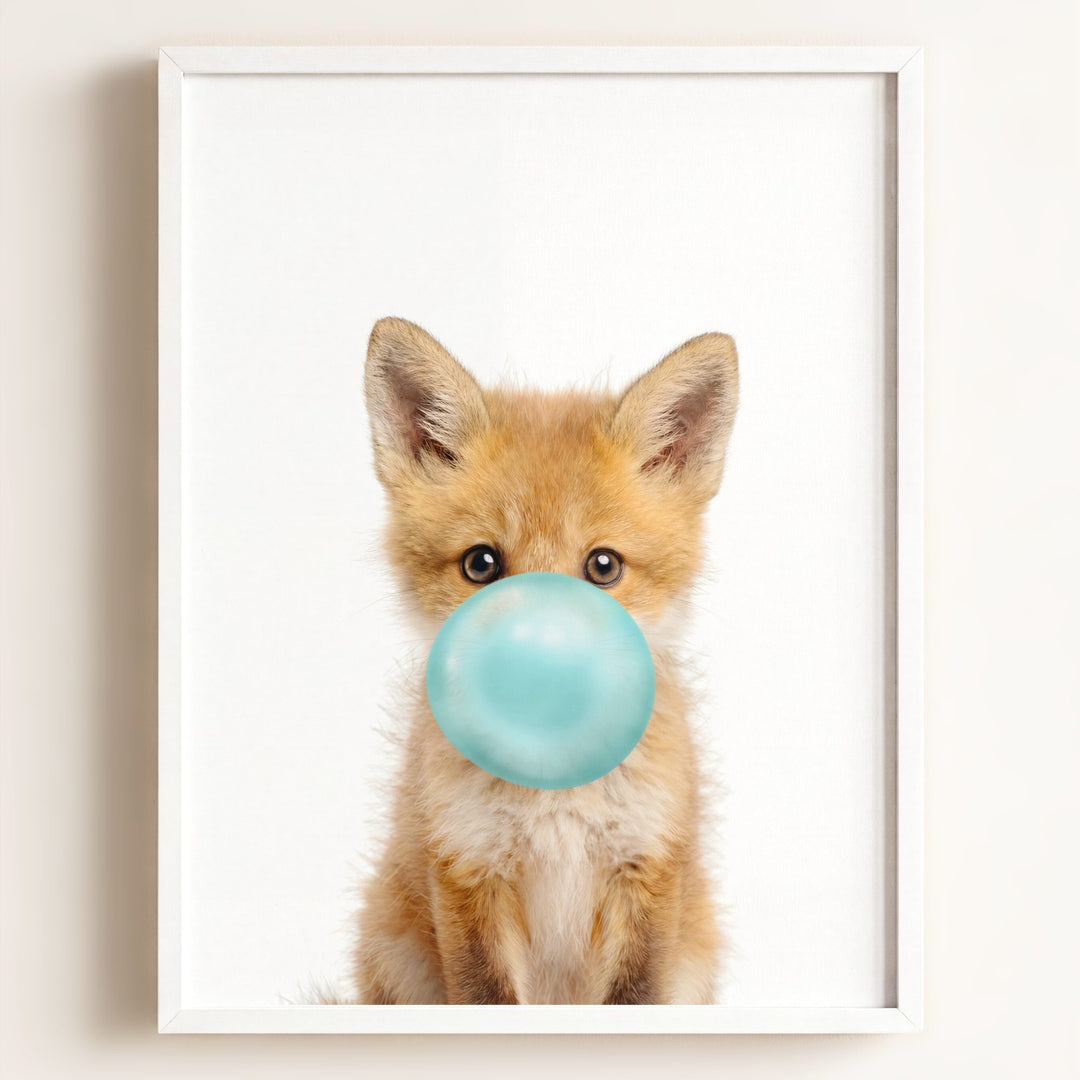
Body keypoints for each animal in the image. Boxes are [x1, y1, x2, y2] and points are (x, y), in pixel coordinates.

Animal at [353, 316, 739, 1005]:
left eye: (603, 566)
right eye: (481, 564)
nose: (538, 662)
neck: (555, 794)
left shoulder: (647, 868)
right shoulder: (467, 867)